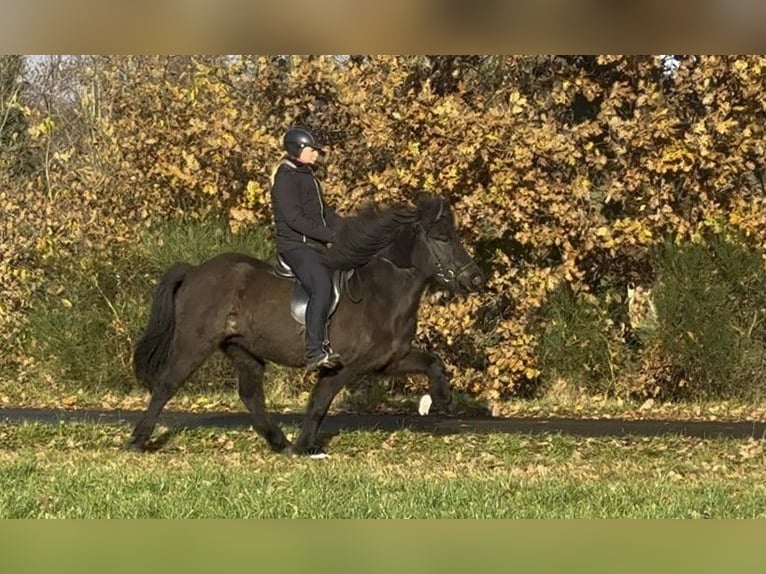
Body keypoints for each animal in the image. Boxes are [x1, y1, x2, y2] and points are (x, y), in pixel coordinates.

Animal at [128, 194, 484, 460]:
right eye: (442, 238)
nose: (475, 278)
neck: (381, 292)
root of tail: (194, 271)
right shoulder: (344, 366)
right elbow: (319, 403)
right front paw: (304, 447)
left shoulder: (388, 360)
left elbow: (432, 362)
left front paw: (441, 400)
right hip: (194, 344)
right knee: (166, 384)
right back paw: (137, 440)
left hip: (242, 349)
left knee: (250, 395)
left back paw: (278, 442)